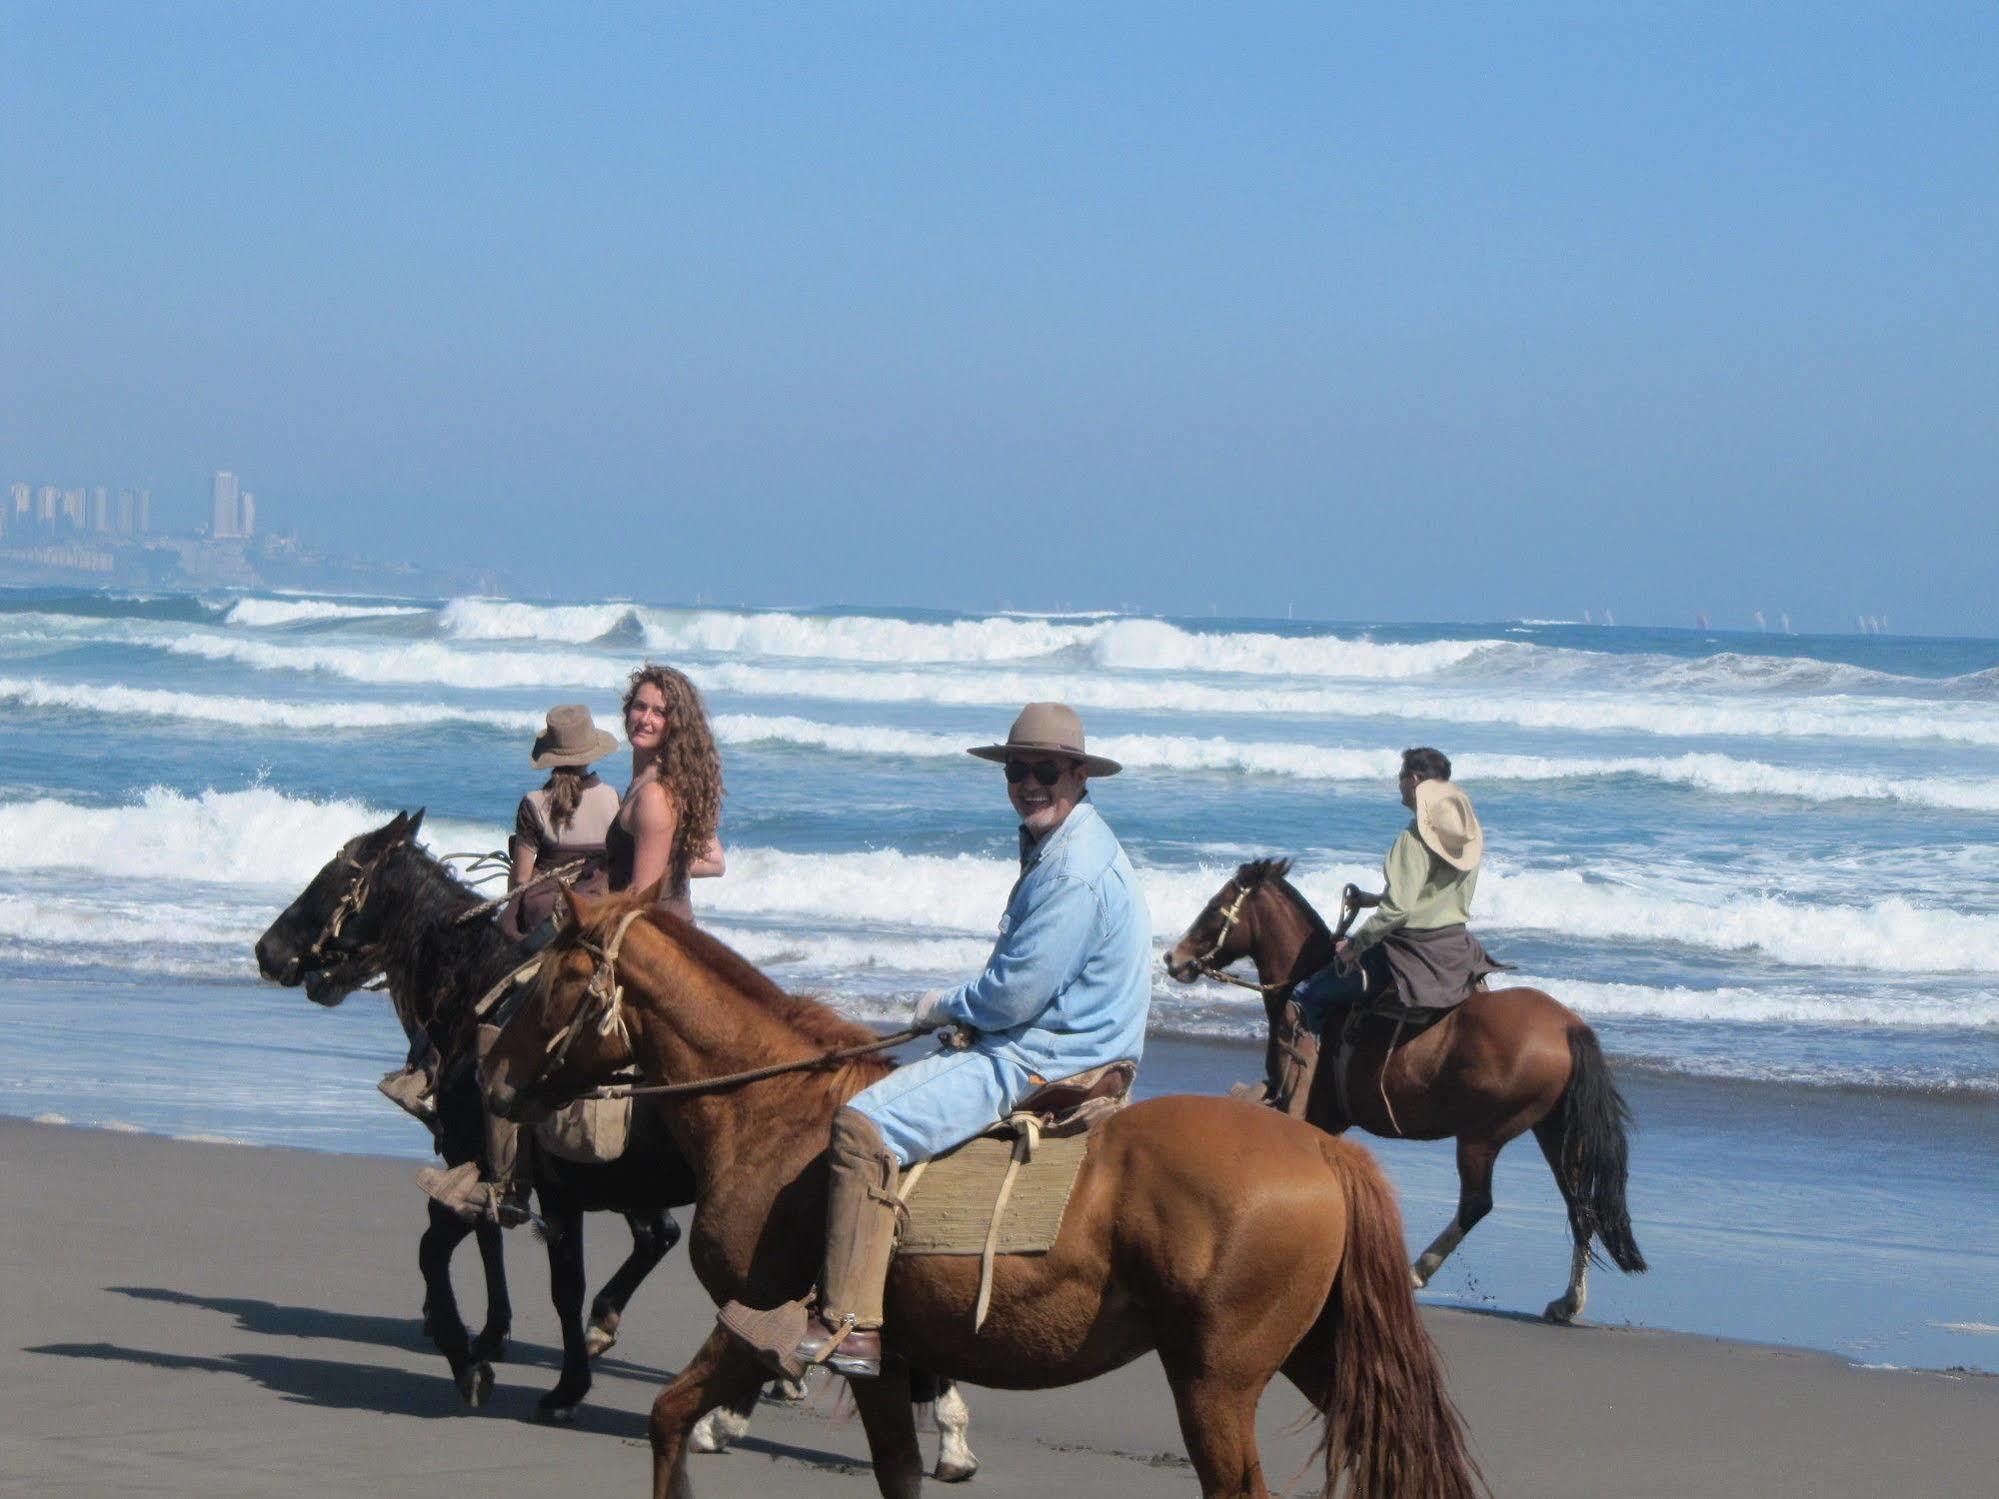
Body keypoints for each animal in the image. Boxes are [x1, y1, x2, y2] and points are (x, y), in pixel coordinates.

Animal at [483, 891, 1487, 1499]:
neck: (771, 1110)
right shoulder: (886, 1363)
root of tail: (1318, 1149)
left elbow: (666, 1418)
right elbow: (893, 1470)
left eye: (557, 978)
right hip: (1317, 1355)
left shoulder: (755, 1318)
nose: (490, 1077)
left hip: (1215, 1379)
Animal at [1167, 863, 1647, 1319]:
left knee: (1477, 1203)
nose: (1174, 958)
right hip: (1555, 1132)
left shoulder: (1314, 1114)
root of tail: (1568, 1026)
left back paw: (1418, 1271)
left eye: (1215, 906)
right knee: (1580, 1208)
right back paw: (1568, 1301)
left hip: (1482, 1135)